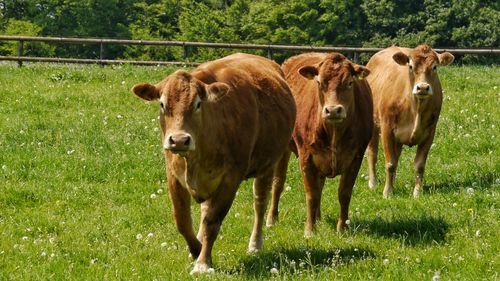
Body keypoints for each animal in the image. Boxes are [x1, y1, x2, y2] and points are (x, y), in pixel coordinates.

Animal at [133, 53, 296, 274]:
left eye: (198, 104)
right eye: (162, 104)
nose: (179, 140)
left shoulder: (230, 179)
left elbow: (212, 221)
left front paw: (202, 262)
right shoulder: (173, 176)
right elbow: (182, 220)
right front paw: (196, 249)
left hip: (268, 165)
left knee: (260, 202)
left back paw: (255, 244)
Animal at [268, 51, 374, 235]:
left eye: (350, 83)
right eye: (319, 82)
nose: (333, 110)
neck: (334, 132)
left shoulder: (356, 157)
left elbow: (344, 193)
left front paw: (342, 228)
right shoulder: (306, 157)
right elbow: (312, 195)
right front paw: (310, 230)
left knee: (320, 184)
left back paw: (317, 217)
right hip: (284, 150)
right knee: (278, 182)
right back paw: (272, 219)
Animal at [366, 43, 456, 197]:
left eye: (435, 67)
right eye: (411, 66)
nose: (423, 87)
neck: (415, 109)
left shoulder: (430, 132)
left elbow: (419, 165)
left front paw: (417, 193)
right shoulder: (387, 128)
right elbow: (390, 163)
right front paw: (387, 192)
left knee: (396, 155)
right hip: (373, 123)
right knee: (372, 153)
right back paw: (373, 183)